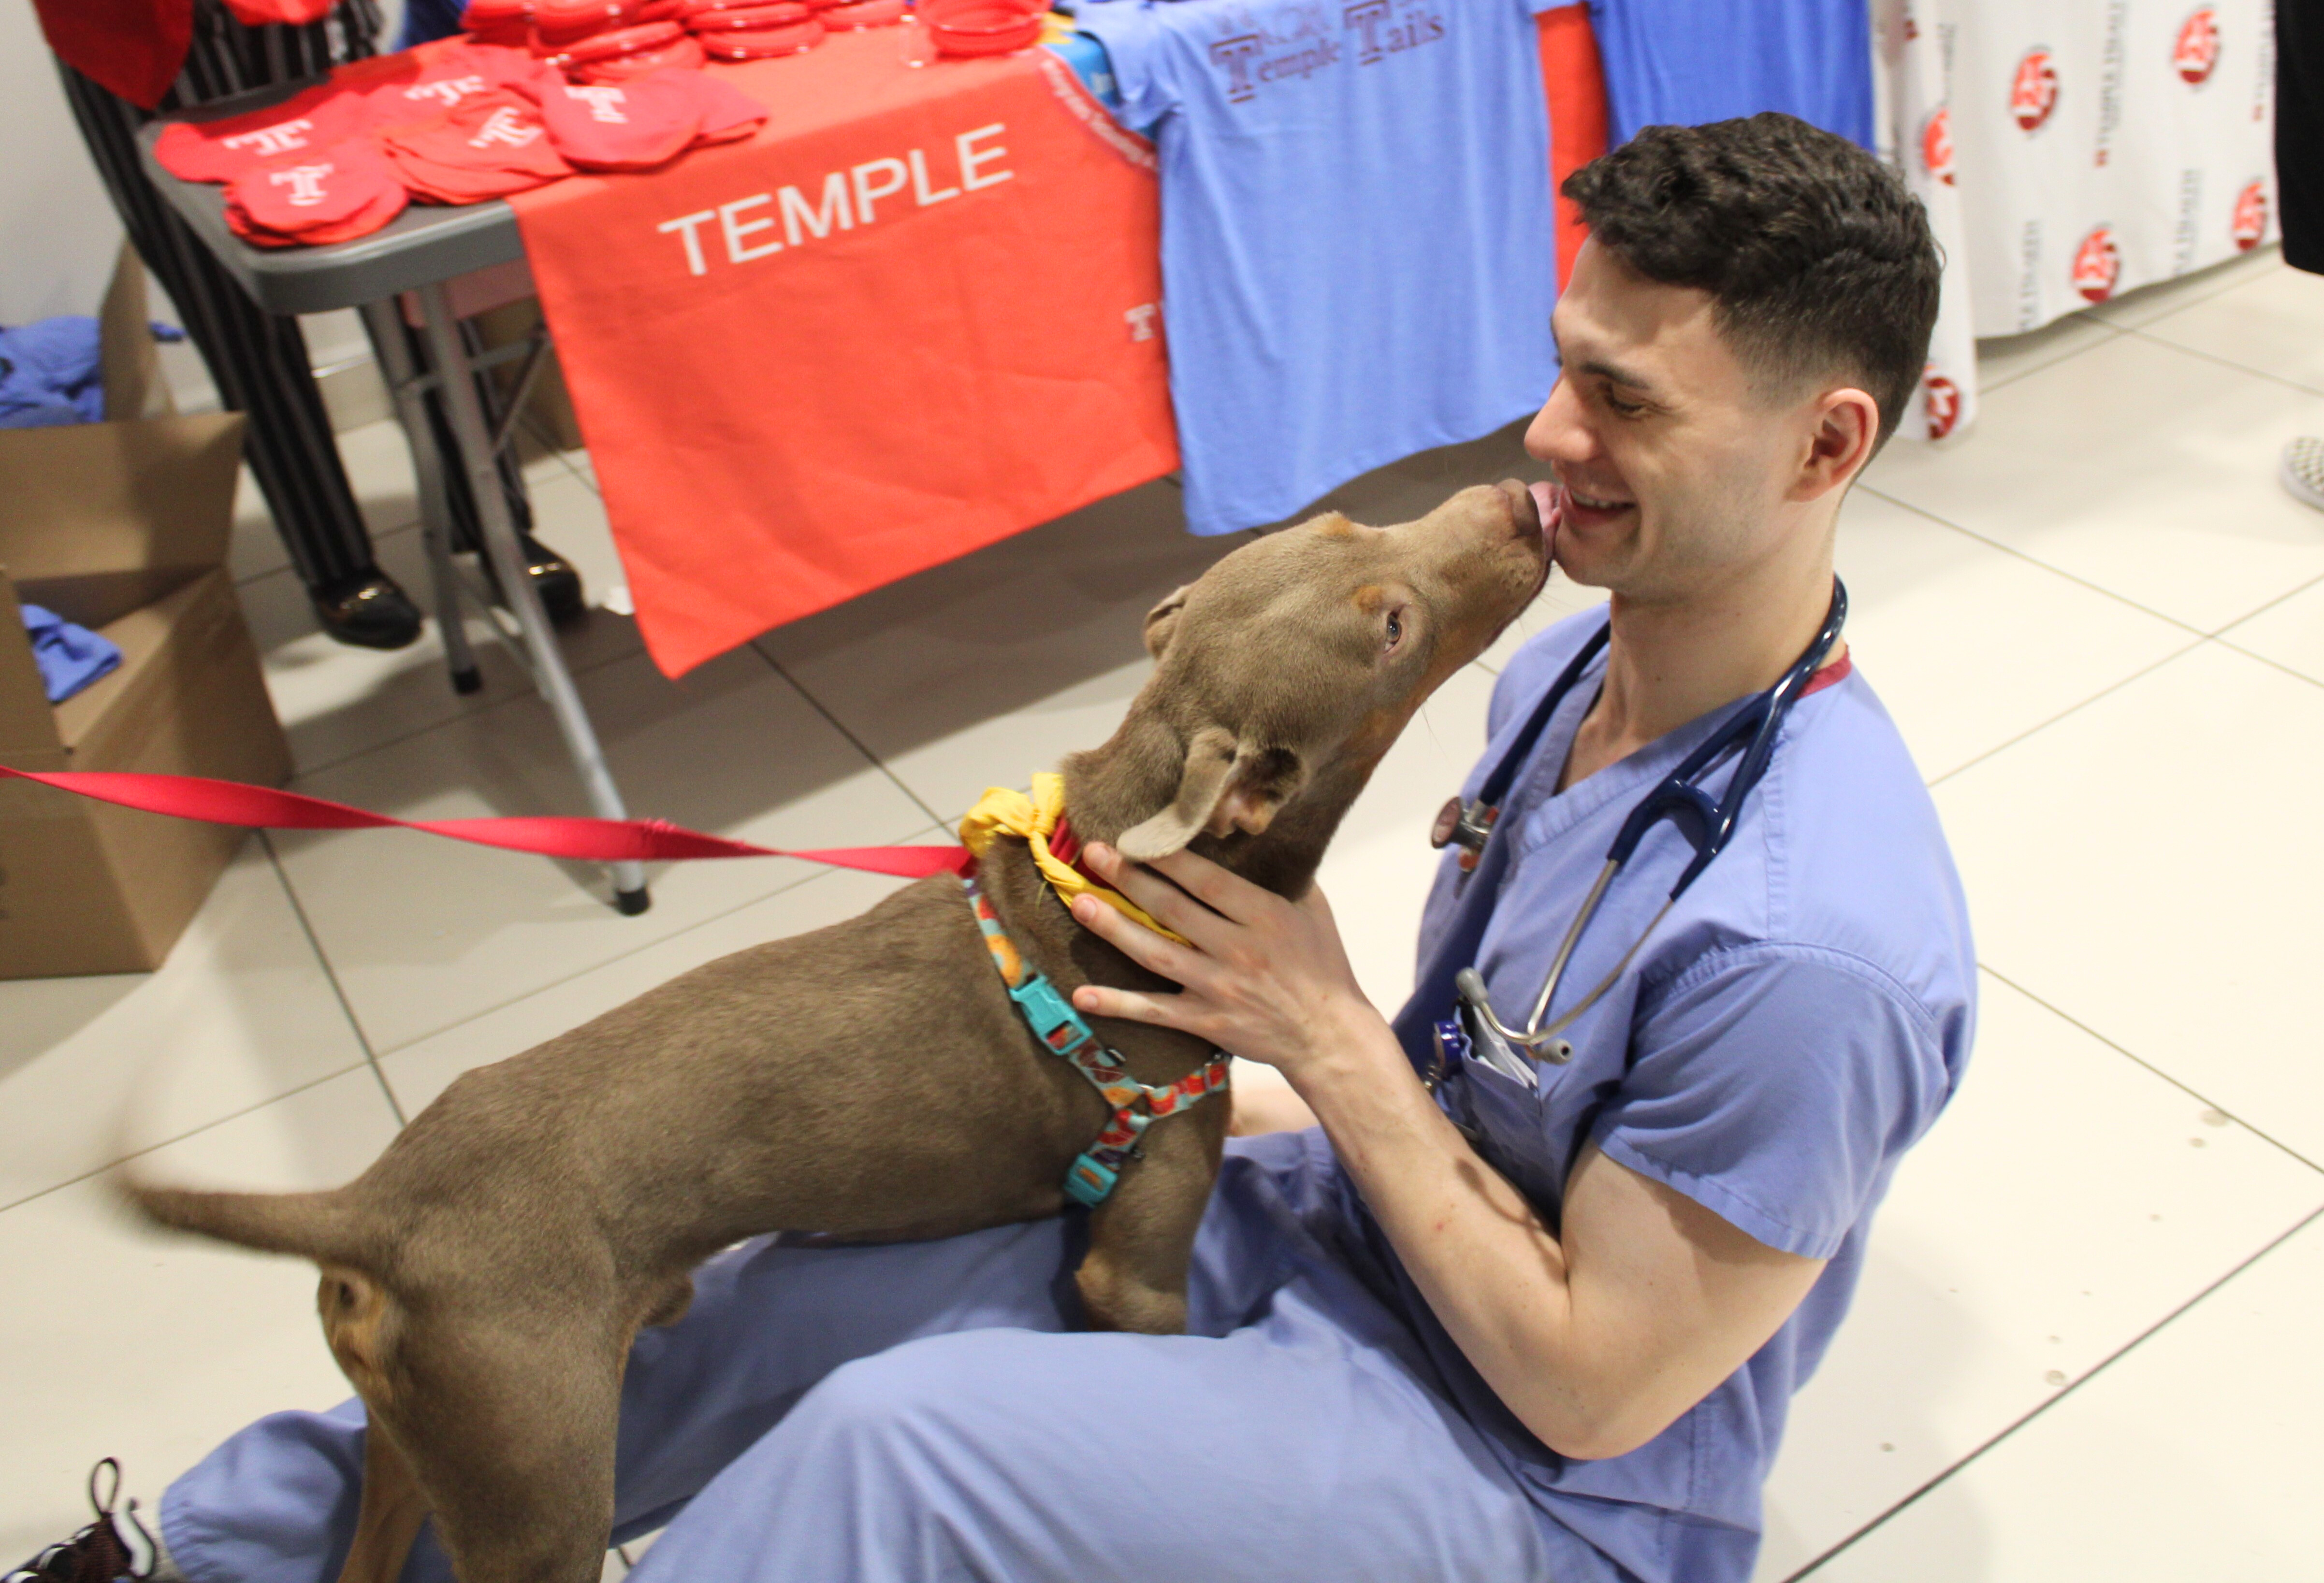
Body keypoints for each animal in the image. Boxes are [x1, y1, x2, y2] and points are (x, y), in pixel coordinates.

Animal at [122, 478, 1543, 1581]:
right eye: (1396, 627)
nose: (1523, 499)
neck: (1120, 870)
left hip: (425, 1445)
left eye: (1354, 520)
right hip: (536, 1476)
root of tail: (376, 1206)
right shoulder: (1135, 1266)